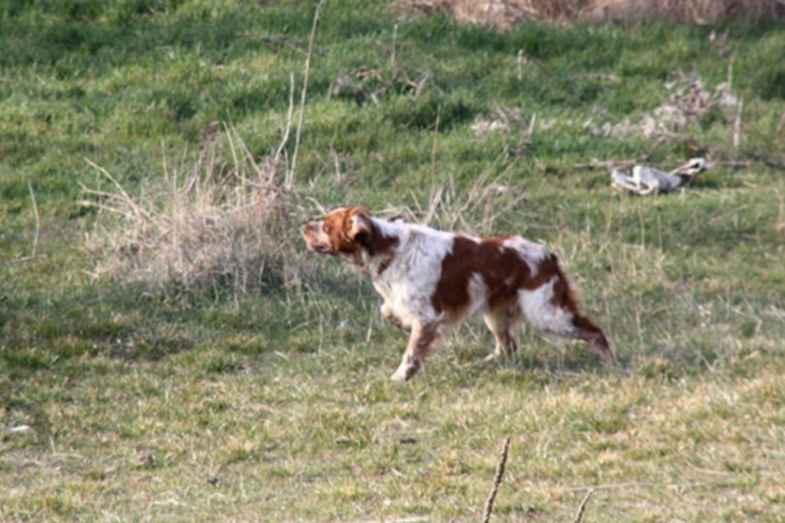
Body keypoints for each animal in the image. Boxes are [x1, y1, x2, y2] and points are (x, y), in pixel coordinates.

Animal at [300, 207, 612, 382]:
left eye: (326, 226)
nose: (304, 225)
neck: (388, 249)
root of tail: (549, 255)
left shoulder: (428, 316)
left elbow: (412, 351)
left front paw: (401, 377)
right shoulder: (407, 306)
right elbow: (388, 311)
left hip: (547, 314)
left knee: (595, 331)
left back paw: (609, 360)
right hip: (495, 314)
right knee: (508, 346)